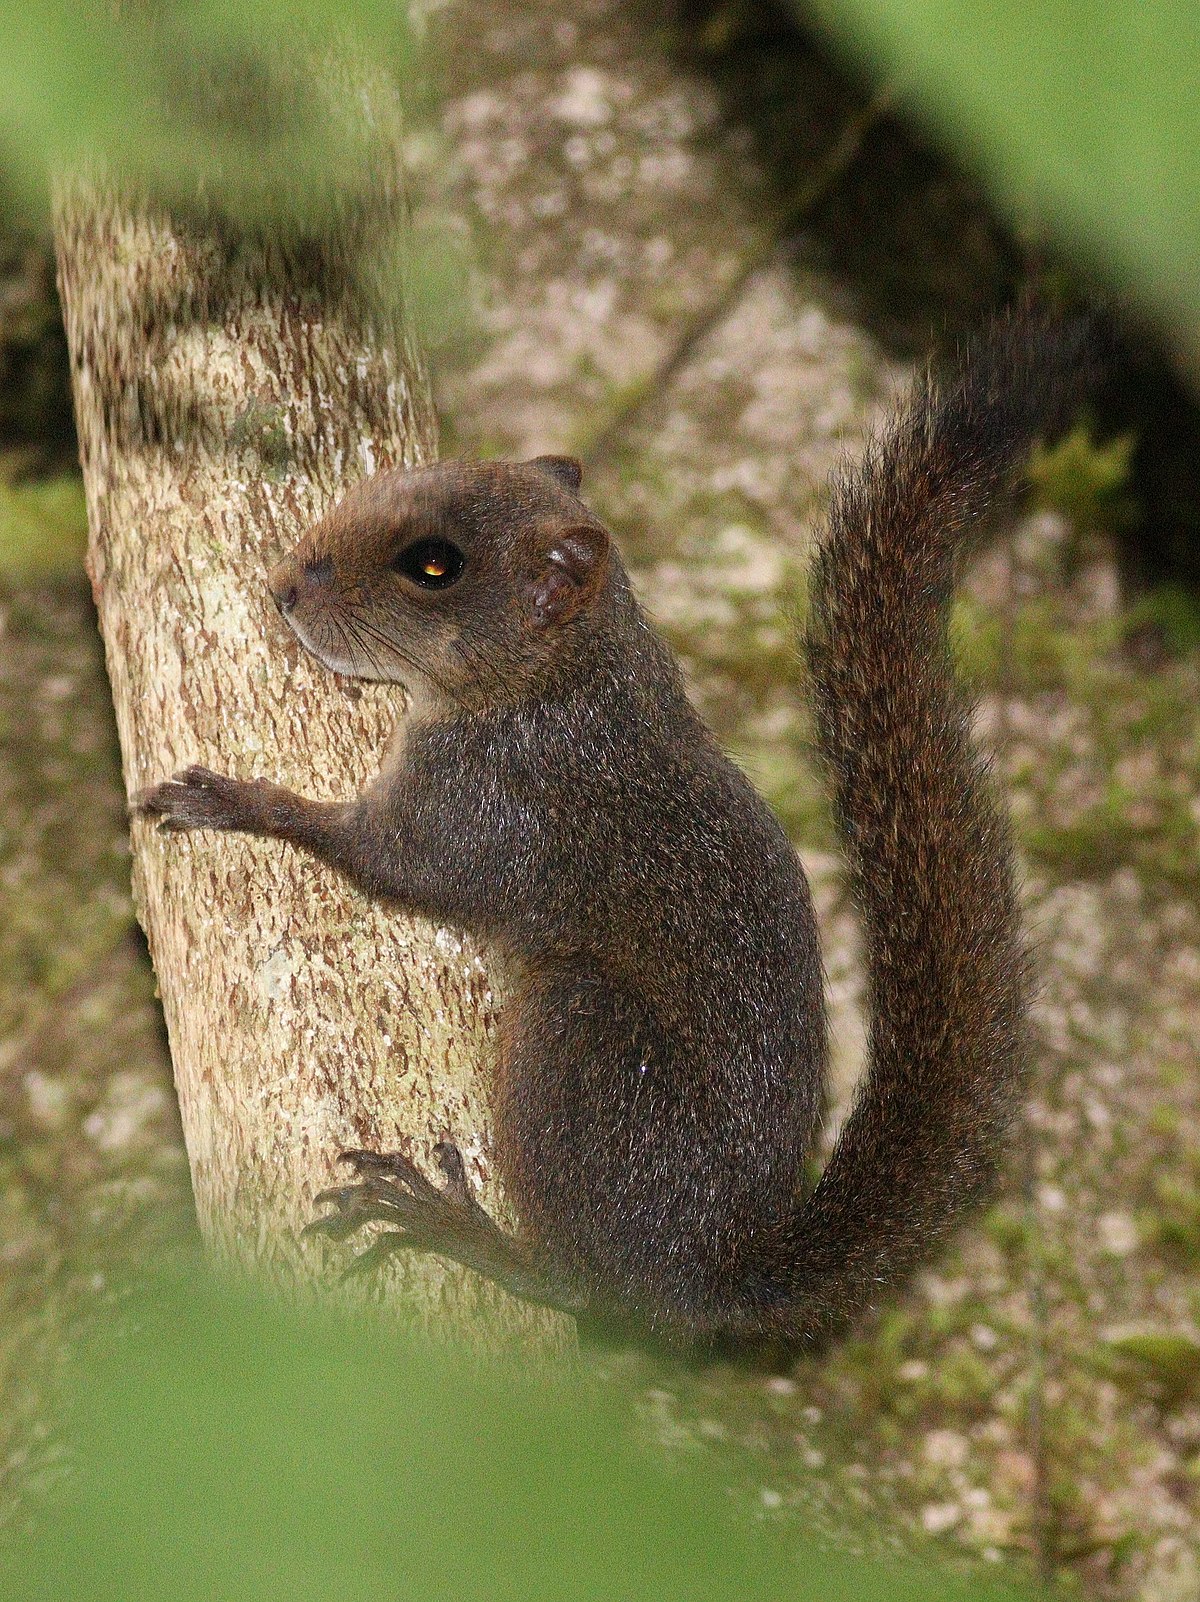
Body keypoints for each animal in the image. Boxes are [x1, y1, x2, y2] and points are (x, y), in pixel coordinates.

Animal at [135, 302, 1089, 1352]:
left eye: (434, 566)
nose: (285, 585)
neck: (564, 678)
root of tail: (707, 1271)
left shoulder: (483, 810)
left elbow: (372, 854)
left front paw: (231, 799)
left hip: (579, 1039)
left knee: (580, 1286)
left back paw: (454, 1224)